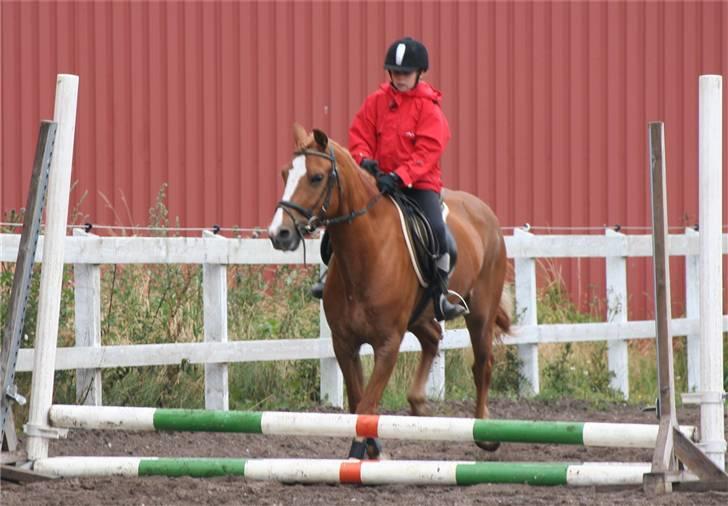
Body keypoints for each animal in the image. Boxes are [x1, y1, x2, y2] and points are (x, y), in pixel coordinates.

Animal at [268, 125, 512, 458]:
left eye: (316, 177)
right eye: (284, 174)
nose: (279, 234)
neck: (365, 254)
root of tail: (485, 212)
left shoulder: (387, 344)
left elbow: (367, 404)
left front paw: (361, 452)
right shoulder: (344, 344)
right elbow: (358, 402)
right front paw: (373, 448)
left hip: (480, 314)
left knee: (482, 364)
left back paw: (485, 433)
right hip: (420, 315)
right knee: (433, 338)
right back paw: (419, 404)